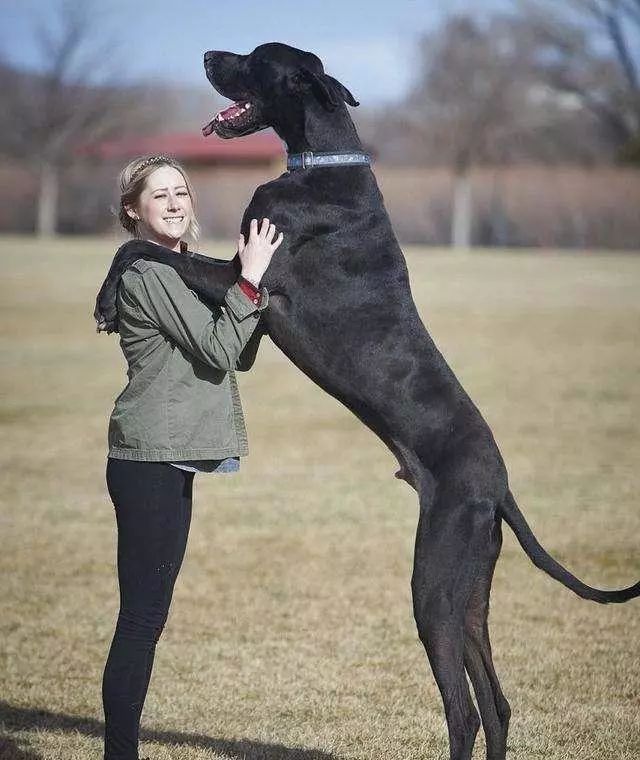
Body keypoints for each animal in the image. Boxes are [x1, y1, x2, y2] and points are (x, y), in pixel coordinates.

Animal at [96, 43, 640, 760]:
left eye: (254, 58)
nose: (210, 53)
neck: (322, 163)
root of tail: (499, 487)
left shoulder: (247, 277)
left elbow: (138, 248)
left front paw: (107, 299)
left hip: (432, 585)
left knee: (464, 711)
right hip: (470, 590)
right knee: (497, 704)